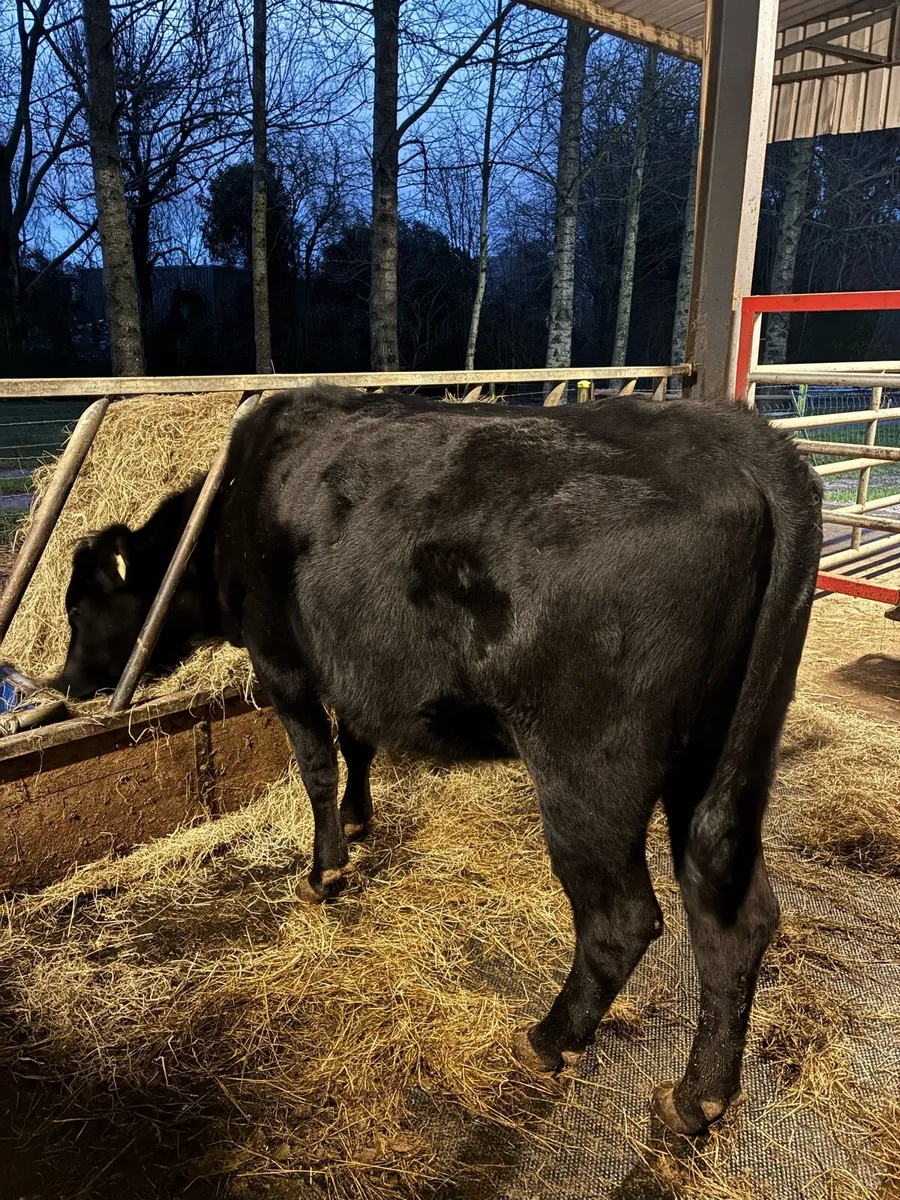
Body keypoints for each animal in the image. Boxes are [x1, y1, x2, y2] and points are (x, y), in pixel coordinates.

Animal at [53, 385, 822, 1135]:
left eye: (81, 609)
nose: (65, 684)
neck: (235, 503)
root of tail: (738, 439)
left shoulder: (283, 661)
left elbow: (317, 764)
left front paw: (324, 871)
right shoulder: (355, 664)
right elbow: (357, 742)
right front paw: (359, 823)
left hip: (590, 769)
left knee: (622, 919)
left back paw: (548, 1041)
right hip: (723, 760)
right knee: (734, 910)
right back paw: (698, 1098)